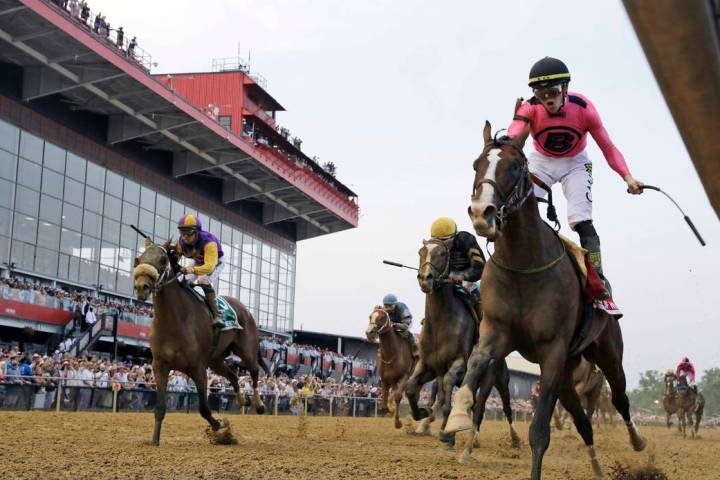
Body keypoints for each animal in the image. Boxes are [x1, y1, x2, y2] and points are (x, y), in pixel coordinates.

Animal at [132, 238, 268, 444]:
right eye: (139, 259)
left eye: (163, 260)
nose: (141, 287)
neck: (174, 320)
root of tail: (245, 310)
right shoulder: (160, 366)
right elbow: (160, 408)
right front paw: (154, 441)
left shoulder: (198, 367)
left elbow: (204, 408)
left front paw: (221, 428)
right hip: (216, 360)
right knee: (233, 376)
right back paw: (240, 399)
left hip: (247, 351)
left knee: (253, 372)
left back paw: (258, 404)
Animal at [404, 236, 516, 450]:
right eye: (421, 252)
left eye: (442, 253)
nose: (425, 278)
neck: (441, 323)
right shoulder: (428, 366)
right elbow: (411, 387)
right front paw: (421, 414)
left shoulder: (458, 365)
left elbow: (449, 396)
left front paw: (447, 435)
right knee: (474, 405)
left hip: (497, 379)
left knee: (501, 406)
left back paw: (514, 439)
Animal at [444, 124, 648, 480]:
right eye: (475, 164)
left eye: (514, 166)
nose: (482, 213)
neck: (524, 265)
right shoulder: (496, 334)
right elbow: (476, 367)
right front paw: (458, 416)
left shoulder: (552, 350)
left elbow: (539, 432)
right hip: (567, 372)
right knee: (582, 421)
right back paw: (597, 467)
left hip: (606, 354)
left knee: (620, 399)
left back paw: (637, 441)